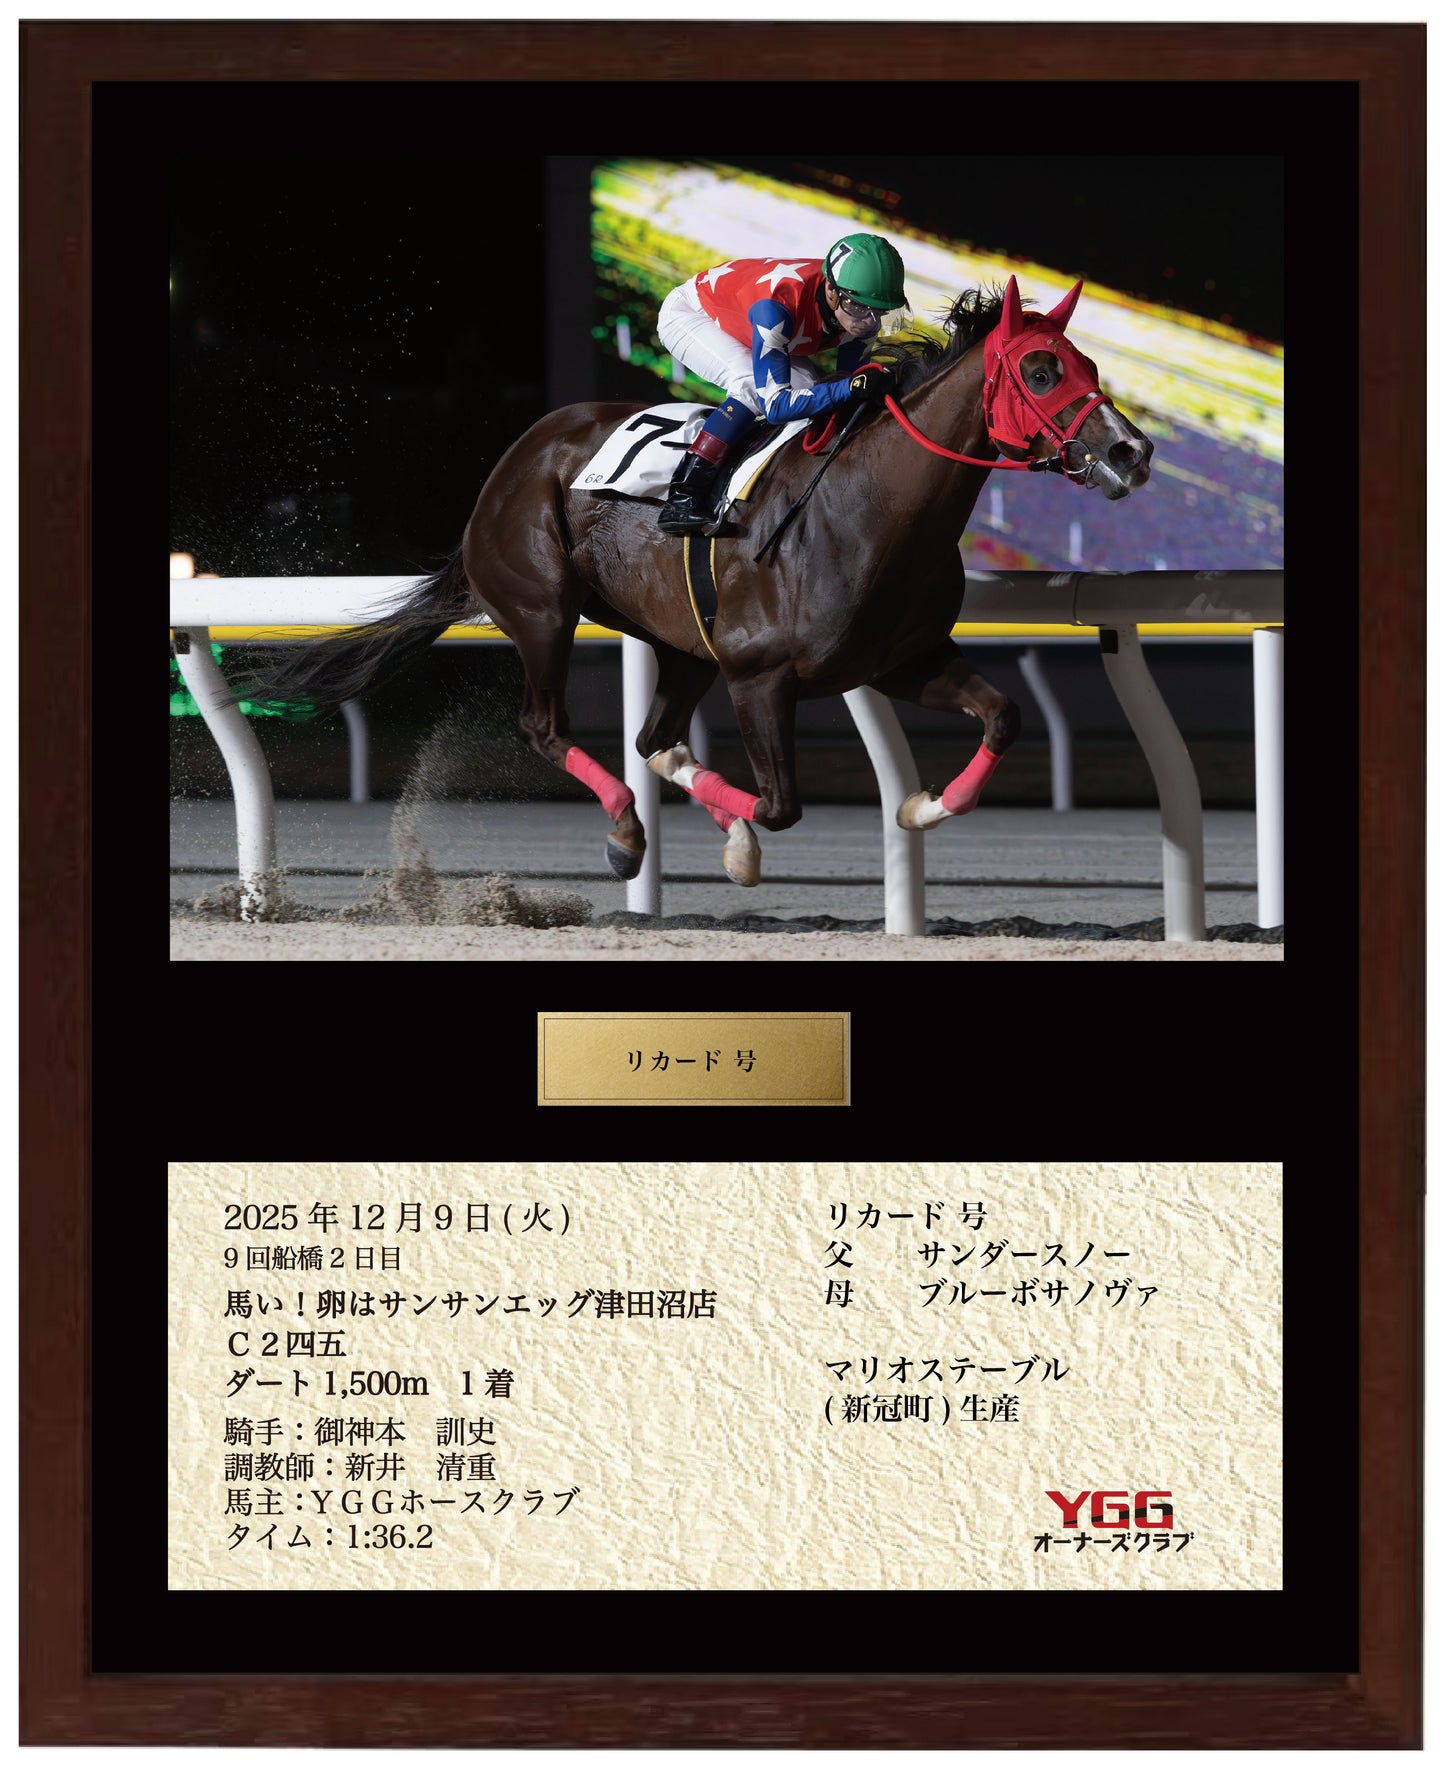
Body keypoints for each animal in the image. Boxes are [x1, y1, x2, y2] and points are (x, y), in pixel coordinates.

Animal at [241, 275, 1152, 887]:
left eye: (1085, 361)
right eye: (1040, 371)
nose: (1130, 451)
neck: (869, 511)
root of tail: (516, 460)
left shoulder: (900, 660)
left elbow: (1003, 717)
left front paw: (920, 807)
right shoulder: (760, 676)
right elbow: (779, 806)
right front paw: (741, 850)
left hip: (681, 642)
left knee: (654, 739)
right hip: (543, 610)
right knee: (547, 727)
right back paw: (624, 834)